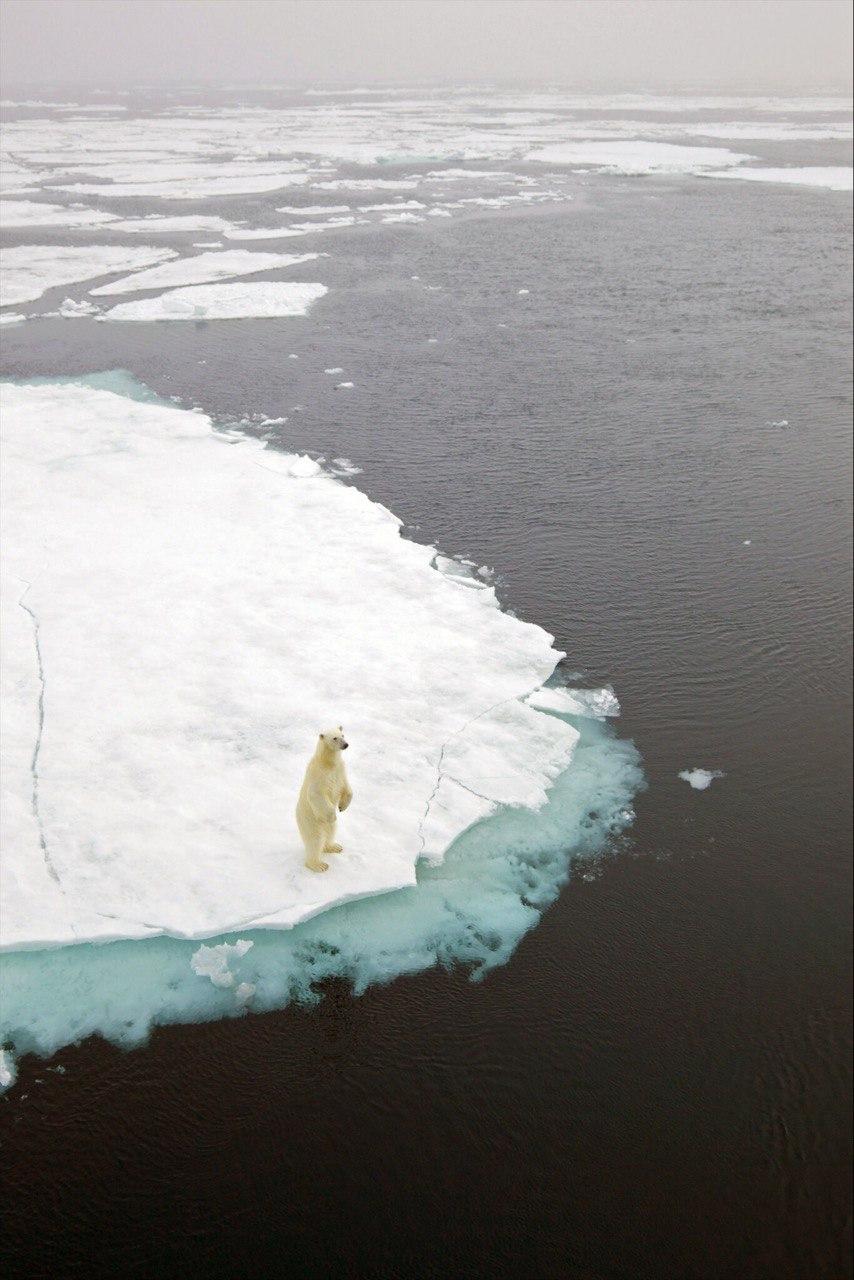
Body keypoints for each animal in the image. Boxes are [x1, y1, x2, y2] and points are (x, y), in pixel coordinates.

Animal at [296, 725, 353, 872]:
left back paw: (334, 847)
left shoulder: (340, 770)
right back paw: (318, 865)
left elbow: (346, 788)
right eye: (334, 738)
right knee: (315, 840)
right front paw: (333, 815)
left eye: (343, 735)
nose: (346, 744)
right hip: (311, 821)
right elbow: (316, 794)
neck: (328, 762)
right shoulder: (319, 774)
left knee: (331, 832)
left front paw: (342, 806)